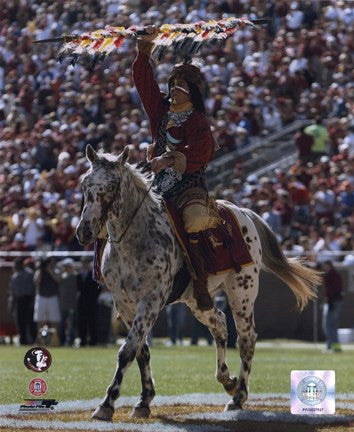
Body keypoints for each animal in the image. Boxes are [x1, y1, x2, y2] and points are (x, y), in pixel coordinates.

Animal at [75, 143, 320, 420]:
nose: (84, 231)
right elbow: (140, 351)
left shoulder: (150, 302)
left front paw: (106, 404)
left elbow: (127, 350)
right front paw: (144, 400)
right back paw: (227, 380)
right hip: (196, 301)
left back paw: (238, 396)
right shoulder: (125, 305)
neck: (135, 240)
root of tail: (243, 212)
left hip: (242, 293)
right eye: (85, 184)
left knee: (246, 339)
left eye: (111, 186)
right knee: (220, 324)